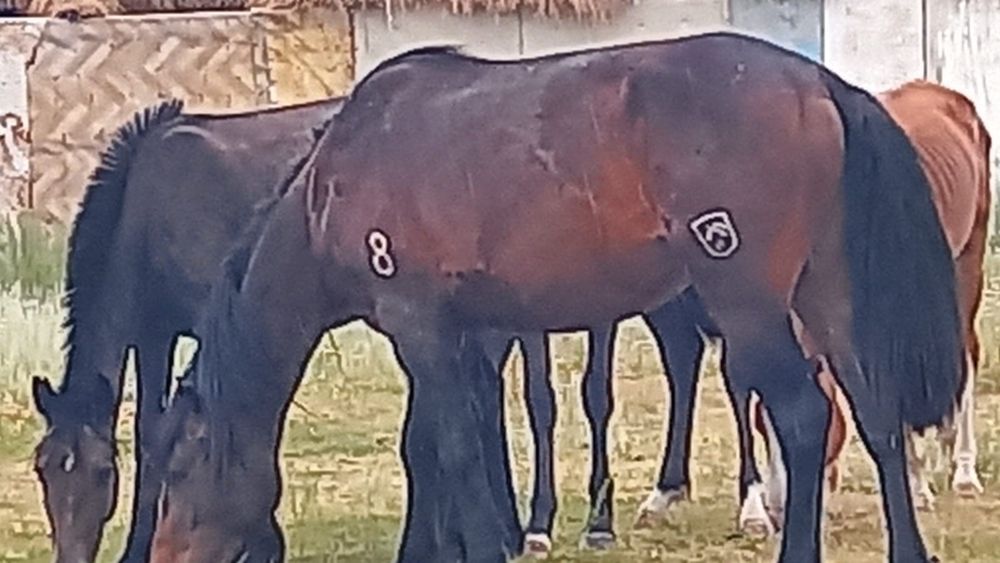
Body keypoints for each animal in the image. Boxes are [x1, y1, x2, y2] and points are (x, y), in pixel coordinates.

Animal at [30, 96, 342, 563]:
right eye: (42, 468)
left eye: (103, 472)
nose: (72, 556)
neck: (146, 217)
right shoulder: (153, 334)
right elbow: (148, 434)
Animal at [148, 32, 963, 563]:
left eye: (177, 477)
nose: (162, 554)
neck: (336, 178)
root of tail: (818, 84)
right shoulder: (461, 333)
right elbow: (438, 445)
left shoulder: (418, 325)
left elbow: (451, 447)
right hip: (828, 292)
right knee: (877, 414)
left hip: (750, 303)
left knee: (801, 415)